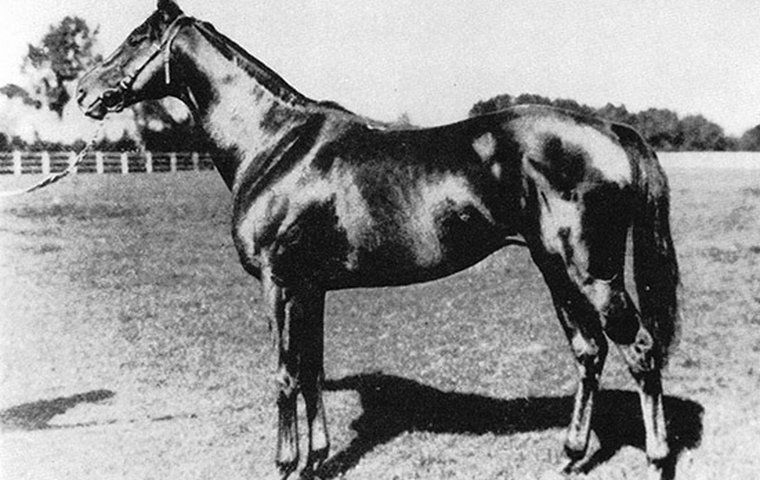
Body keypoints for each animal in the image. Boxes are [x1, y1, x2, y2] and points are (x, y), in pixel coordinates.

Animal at [77, 1, 679, 478]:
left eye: (137, 38)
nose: (84, 91)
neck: (275, 144)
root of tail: (609, 131)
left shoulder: (278, 283)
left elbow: (285, 374)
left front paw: (286, 464)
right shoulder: (310, 287)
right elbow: (311, 369)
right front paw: (317, 459)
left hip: (592, 274)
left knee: (640, 351)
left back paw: (655, 459)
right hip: (555, 270)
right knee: (590, 351)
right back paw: (572, 455)